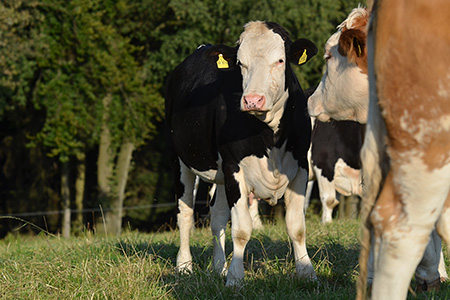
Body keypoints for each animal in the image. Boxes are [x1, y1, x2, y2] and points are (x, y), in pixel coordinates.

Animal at [164, 21, 316, 286]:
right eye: (240, 64)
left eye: (280, 60)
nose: (253, 100)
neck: (270, 138)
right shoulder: (234, 167)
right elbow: (242, 229)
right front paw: (235, 279)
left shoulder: (300, 166)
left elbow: (296, 226)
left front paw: (307, 272)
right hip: (180, 160)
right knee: (185, 213)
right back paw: (184, 266)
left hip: (220, 175)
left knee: (217, 217)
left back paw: (218, 267)